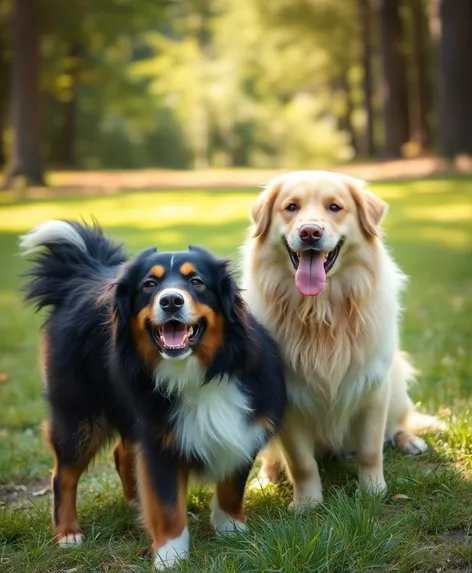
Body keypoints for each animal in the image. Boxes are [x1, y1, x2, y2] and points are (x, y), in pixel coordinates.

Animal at [19, 219, 288, 568]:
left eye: (197, 281)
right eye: (149, 284)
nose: (171, 300)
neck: (196, 373)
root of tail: (84, 273)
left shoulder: (244, 428)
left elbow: (231, 487)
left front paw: (231, 531)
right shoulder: (160, 440)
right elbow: (167, 504)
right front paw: (170, 556)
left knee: (122, 453)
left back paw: (135, 503)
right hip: (78, 414)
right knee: (62, 475)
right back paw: (67, 533)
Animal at [243, 171, 436, 510]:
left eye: (335, 207)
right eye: (291, 207)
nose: (309, 232)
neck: (320, 314)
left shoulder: (373, 389)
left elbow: (371, 451)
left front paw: (373, 492)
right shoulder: (288, 402)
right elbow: (301, 463)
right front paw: (307, 503)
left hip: (396, 382)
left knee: (399, 422)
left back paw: (408, 440)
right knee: (271, 458)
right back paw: (265, 479)